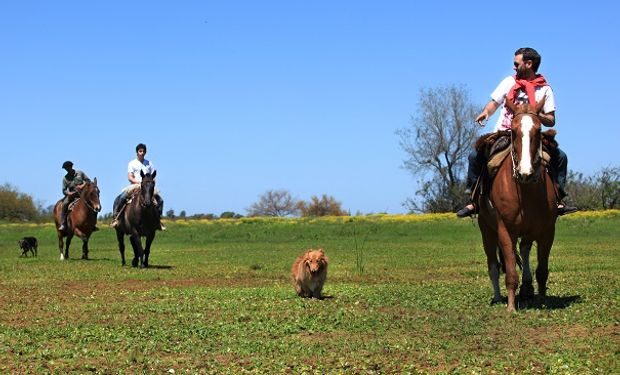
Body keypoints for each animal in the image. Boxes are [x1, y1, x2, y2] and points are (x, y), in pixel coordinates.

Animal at [478, 99, 560, 312]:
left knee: (524, 249)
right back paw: (499, 297)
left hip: (528, 230)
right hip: (487, 230)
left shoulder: (547, 231)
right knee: (493, 266)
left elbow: (542, 270)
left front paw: (542, 301)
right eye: (513, 131)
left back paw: (527, 288)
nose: (526, 172)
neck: (525, 190)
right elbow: (510, 271)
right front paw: (511, 307)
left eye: (538, 130)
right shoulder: (505, 230)